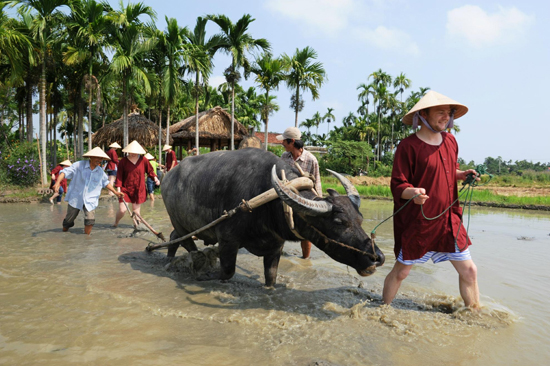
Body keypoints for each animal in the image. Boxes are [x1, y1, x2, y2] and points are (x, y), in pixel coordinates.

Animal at [161, 148, 384, 286]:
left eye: (360, 219)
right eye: (339, 222)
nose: (377, 258)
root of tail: (167, 177)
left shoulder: (276, 246)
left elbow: (271, 277)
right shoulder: (227, 240)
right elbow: (227, 272)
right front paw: (206, 276)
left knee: (173, 237)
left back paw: (169, 259)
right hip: (179, 222)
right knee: (188, 244)